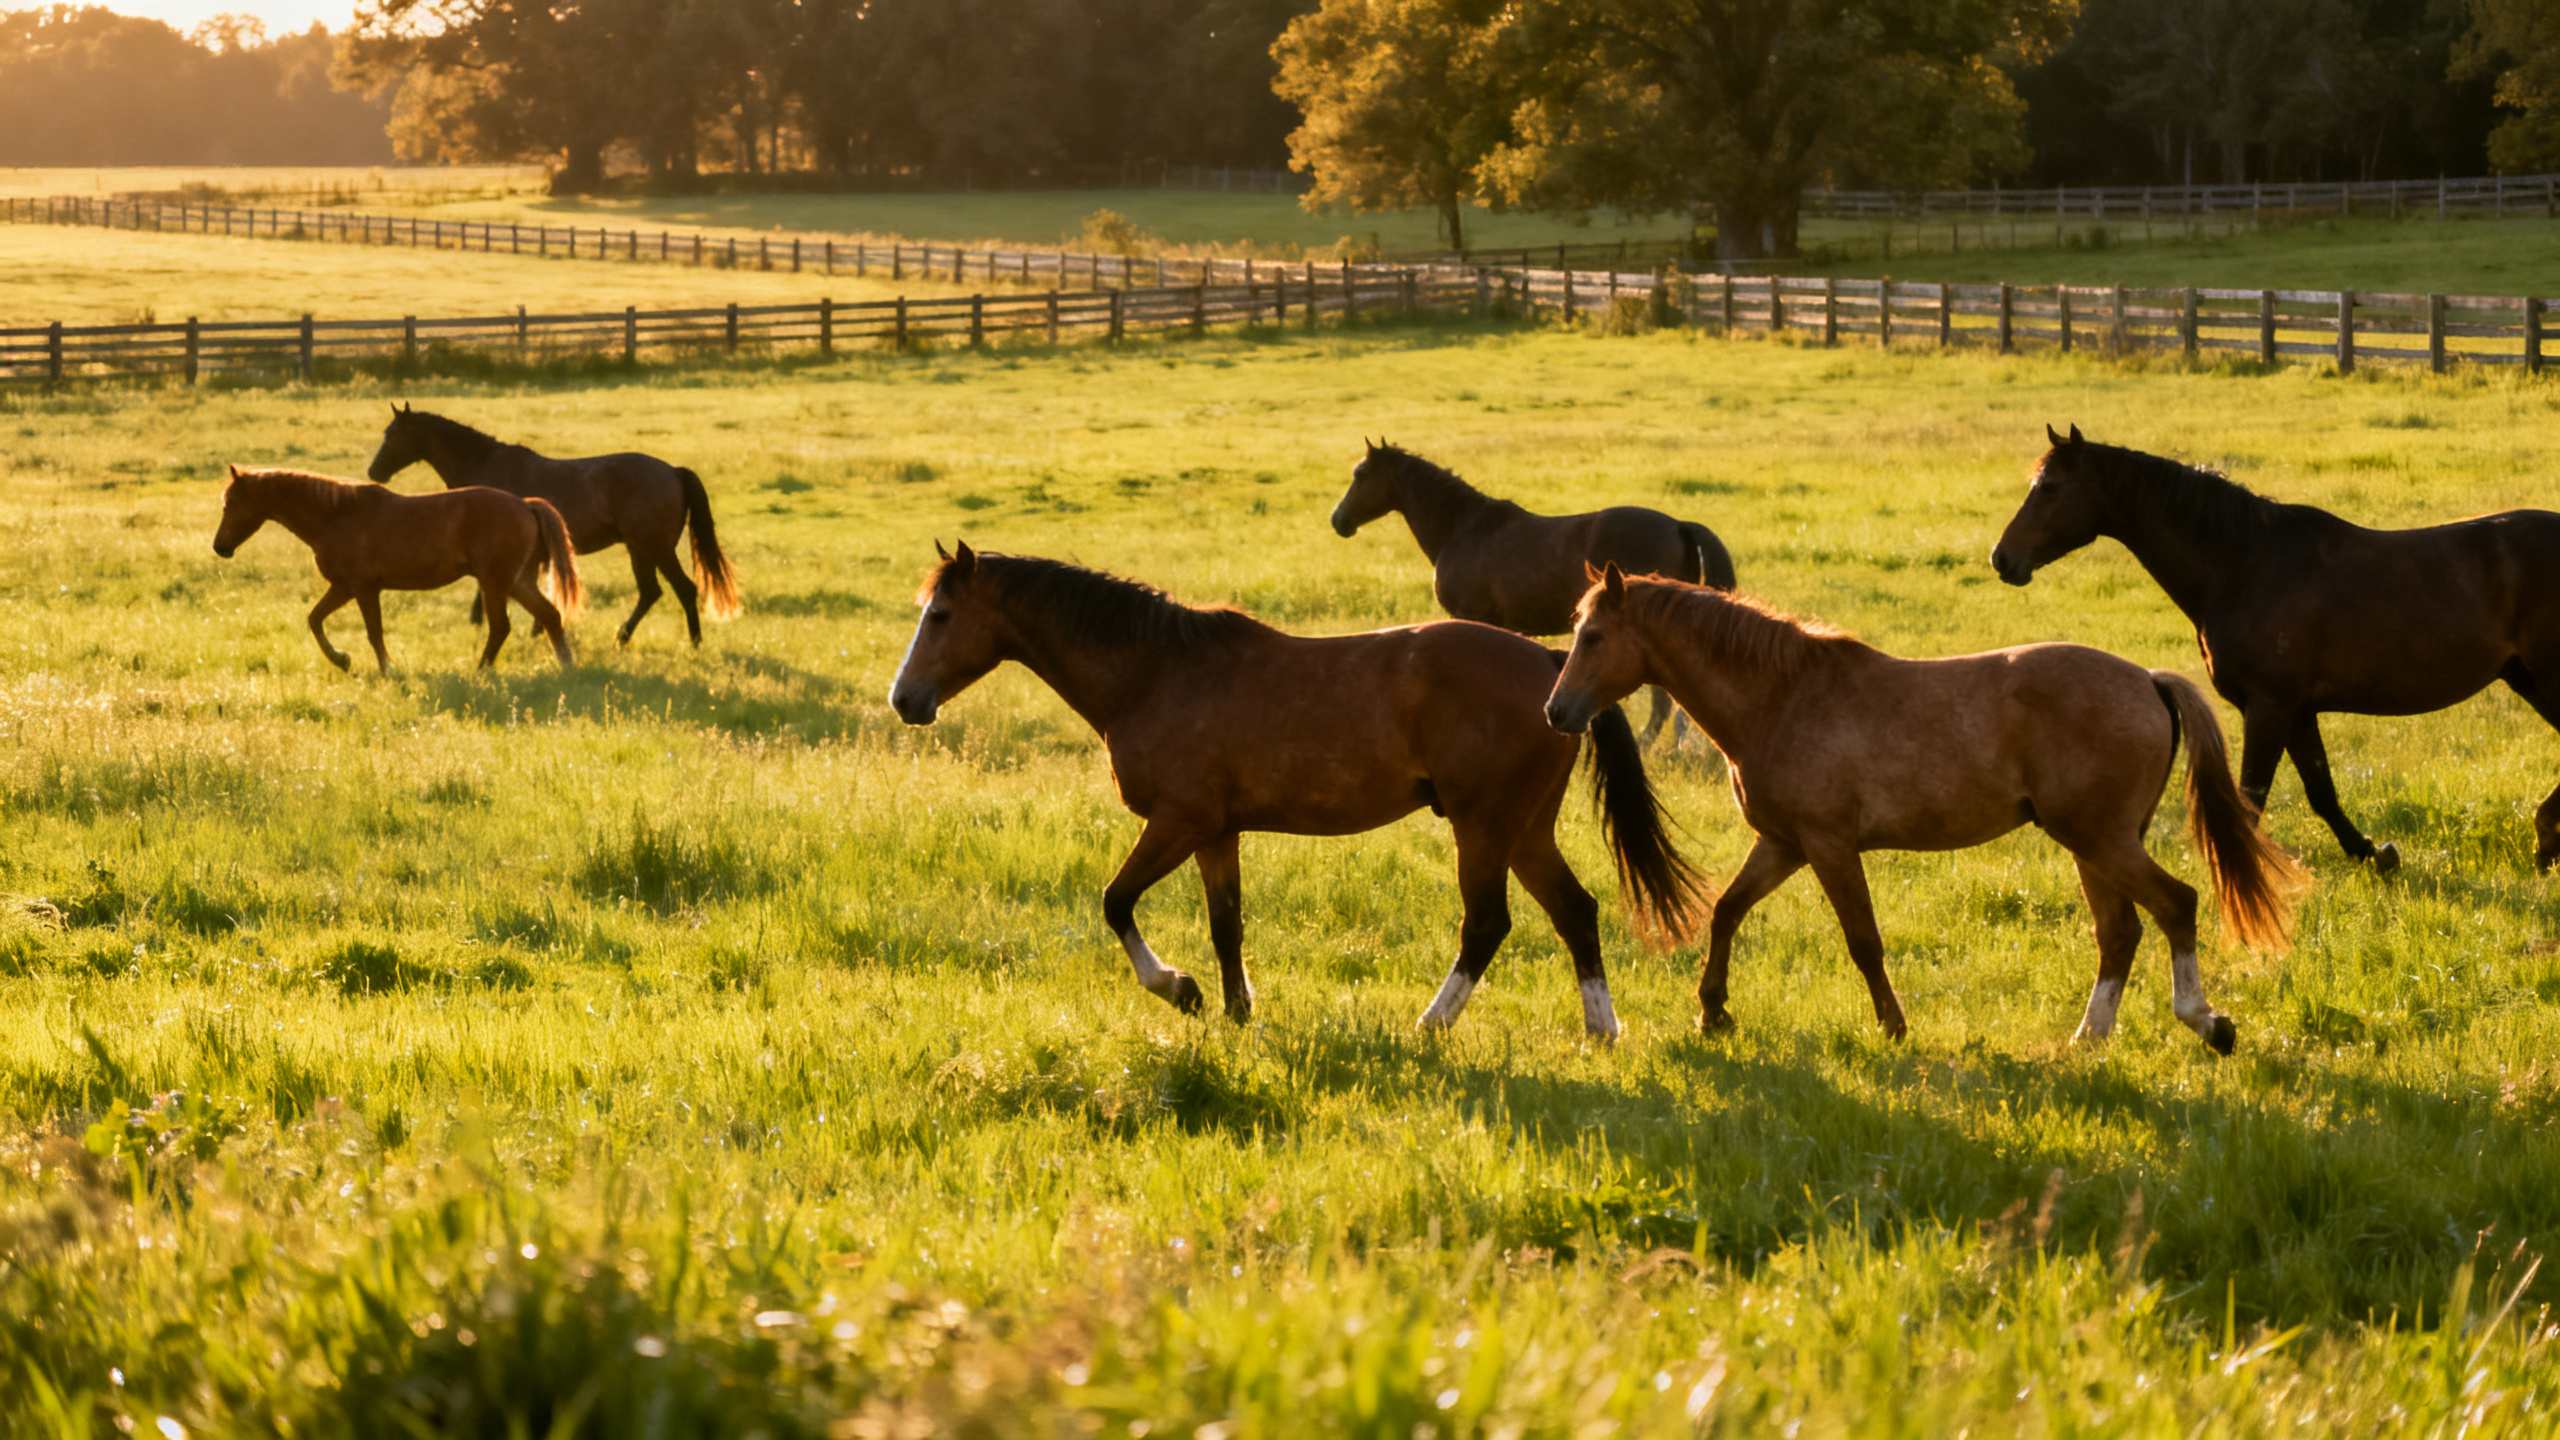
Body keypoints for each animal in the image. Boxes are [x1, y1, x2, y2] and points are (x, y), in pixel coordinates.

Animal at [211, 465, 582, 672]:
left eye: (230, 503)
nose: (220, 546)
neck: (336, 516)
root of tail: (526, 504)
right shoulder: (344, 588)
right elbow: (315, 619)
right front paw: (343, 660)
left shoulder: (362, 589)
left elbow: (373, 633)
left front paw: (384, 670)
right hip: (518, 582)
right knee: (550, 616)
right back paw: (566, 667)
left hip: (495, 583)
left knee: (501, 628)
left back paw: (480, 671)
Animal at [366, 404, 739, 648]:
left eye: (393, 436)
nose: (373, 472)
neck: (486, 465)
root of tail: (674, 471)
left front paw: (482, 621)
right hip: (640, 549)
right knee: (651, 592)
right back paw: (623, 637)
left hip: (655, 547)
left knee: (684, 589)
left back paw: (693, 642)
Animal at [888, 543, 1706, 1038]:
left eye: (941, 615)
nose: (905, 699)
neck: (1155, 671)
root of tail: (1552, 669)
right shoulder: (1217, 832)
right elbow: (1227, 925)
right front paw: (1235, 1011)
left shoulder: (1177, 823)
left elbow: (1116, 902)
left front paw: (1178, 988)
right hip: (1525, 832)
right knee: (1576, 913)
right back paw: (1601, 1030)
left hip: (1483, 829)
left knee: (1486, 926)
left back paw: (1431, 1025)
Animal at [1545, 564, 2302, 1053]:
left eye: (1592, 637)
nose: (1556, 712)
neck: (1782, 696)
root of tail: (2147, 679)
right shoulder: (1783, 844)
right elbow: (1727, 912)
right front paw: (1713, 1014)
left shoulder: (1827, 846)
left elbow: (1863, 940)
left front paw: (1893, 1026)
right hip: (2095, 845)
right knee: (2119, 933)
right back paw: (2089, 1037)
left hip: (2102, 840)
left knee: (2176, 905)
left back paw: (2207, 1022)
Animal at [1991, 425, 2560, 874]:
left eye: (2050, 487)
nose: (2002, 558)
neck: (2242, 563)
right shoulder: (2298, 710)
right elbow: (2321, 792)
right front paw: (2374, 855)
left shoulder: (2268, 707)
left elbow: (2251, 800)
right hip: (2527, 679)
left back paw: (2545, 838)